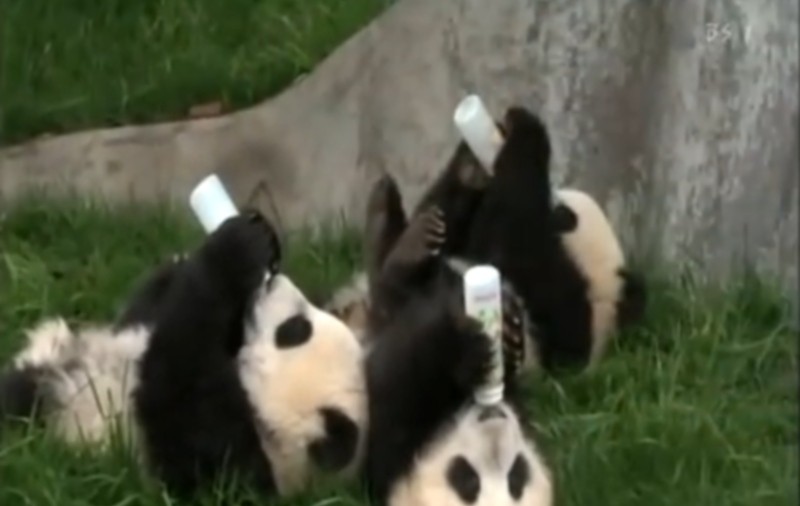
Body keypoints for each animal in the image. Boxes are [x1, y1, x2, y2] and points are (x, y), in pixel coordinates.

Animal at [0, 211, 367, 503]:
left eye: (294, 331)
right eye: (301, 324)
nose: (275, 281)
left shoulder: (221, 465)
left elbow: (175, 387)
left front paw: (233, 252)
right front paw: (252, 239)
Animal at [361, 163, 554, 506]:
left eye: (516, 478)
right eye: (468, 480)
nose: (495, 422)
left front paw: (491, 342)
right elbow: (402, 378)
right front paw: (486, 343)